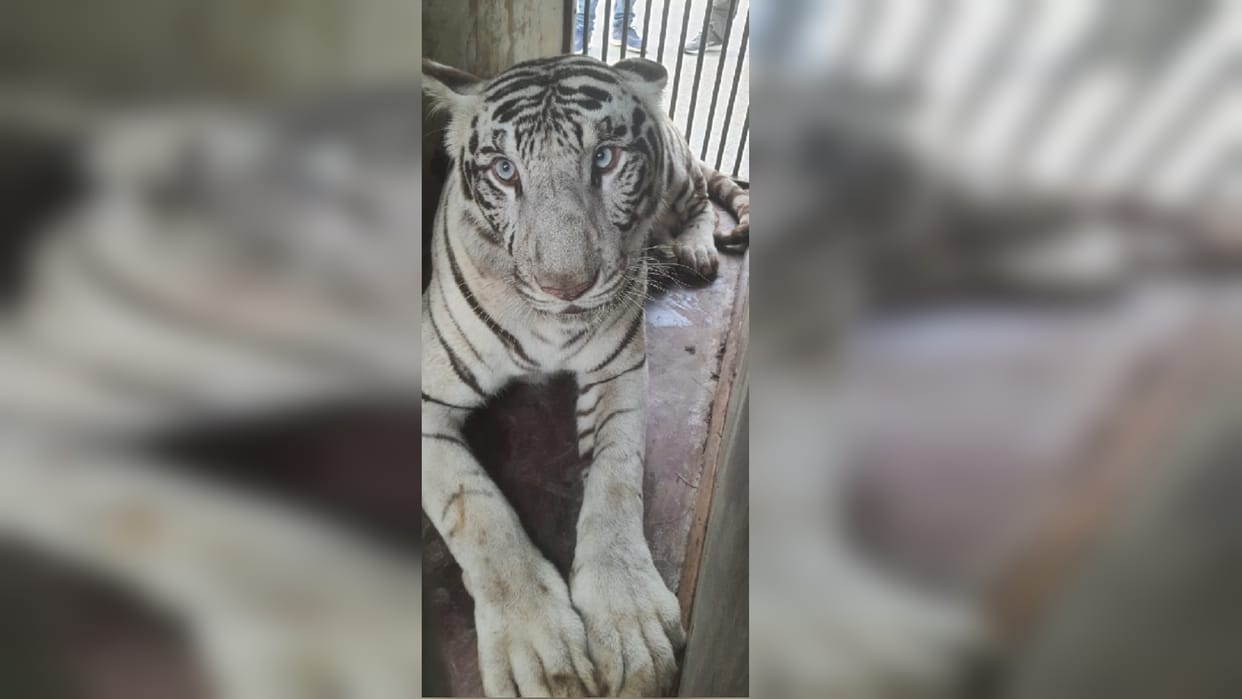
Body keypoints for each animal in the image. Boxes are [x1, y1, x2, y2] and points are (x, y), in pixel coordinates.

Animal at [420, 54, 749, 697]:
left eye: (605, 158)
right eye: (504, 170)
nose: (565, 288)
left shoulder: (620, 368)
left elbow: (616, 479)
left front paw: (631, 622)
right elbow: (477, 512)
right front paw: (538, 647)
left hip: (680, 176)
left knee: (701, 201)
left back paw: (694, 251)